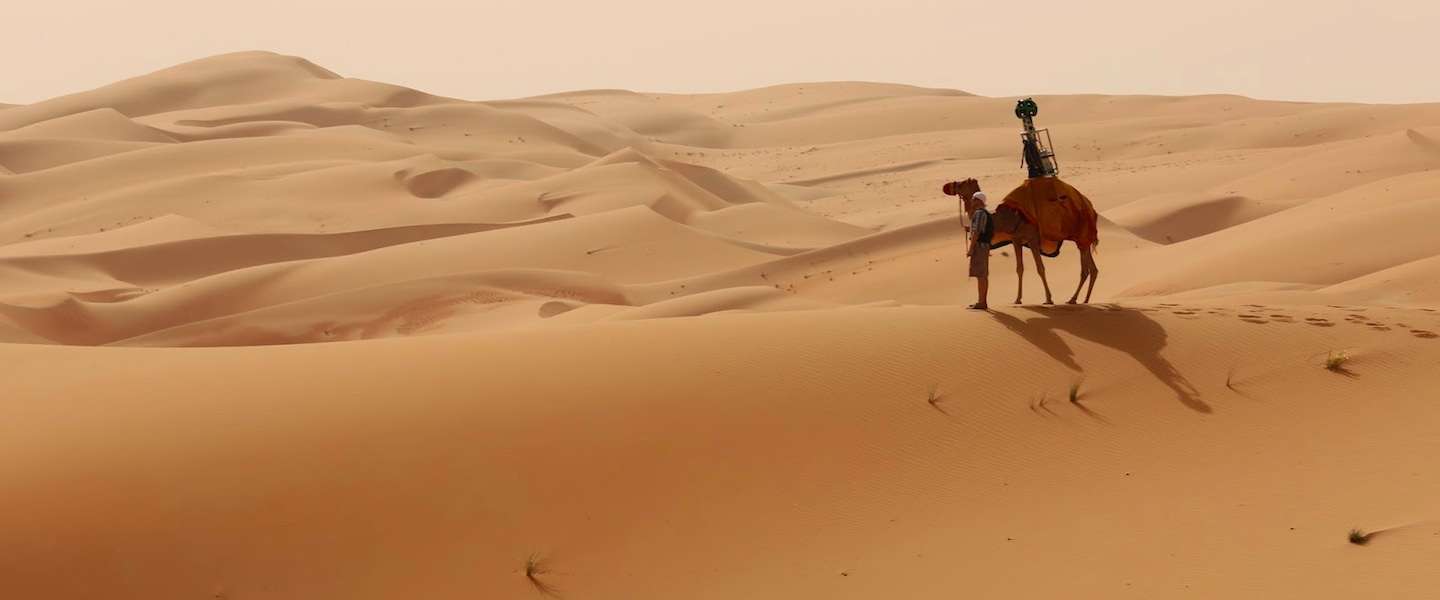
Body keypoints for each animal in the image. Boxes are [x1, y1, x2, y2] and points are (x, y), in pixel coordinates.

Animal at [944, 175, 1100, 302]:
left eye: (961, 183)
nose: (946, 186)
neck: (1005, 219)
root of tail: (1091, 208)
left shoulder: (1031, 239)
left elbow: (1040, 268)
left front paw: (1048, 299)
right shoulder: (1016, 240)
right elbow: (1020, 268)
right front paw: (1018, 299)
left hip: (1081, 237)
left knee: (1085, 270)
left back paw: (1073, 299)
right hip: (1083, 240)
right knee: (1093, 269)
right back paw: (1084, 299)